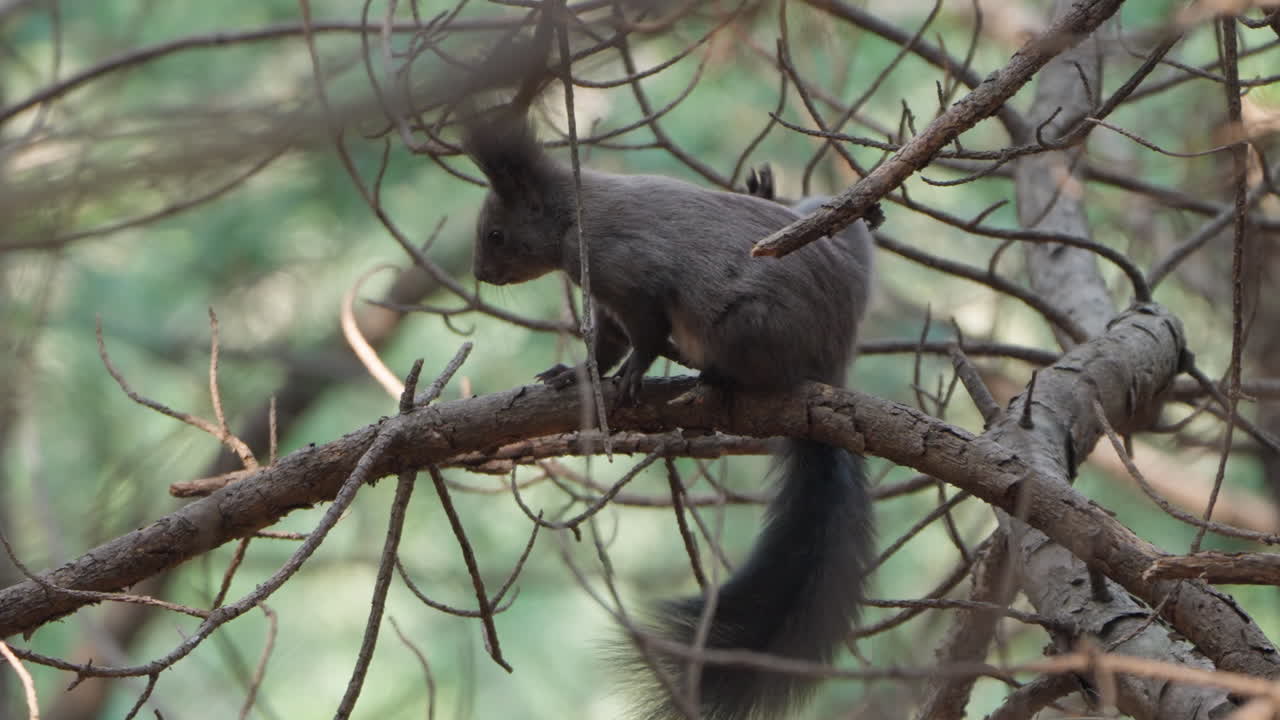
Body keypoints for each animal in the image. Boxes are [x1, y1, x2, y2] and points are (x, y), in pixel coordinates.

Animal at [464, 111, 876, 720]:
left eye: (496, 234)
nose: (480, 273)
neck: (574, 216)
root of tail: (833, 363)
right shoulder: (606, 297)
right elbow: (605, 346)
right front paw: (574, 375)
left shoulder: (627, 269)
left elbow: (646, 334)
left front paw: (634, 374)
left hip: (746, 326)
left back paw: (719, 380)